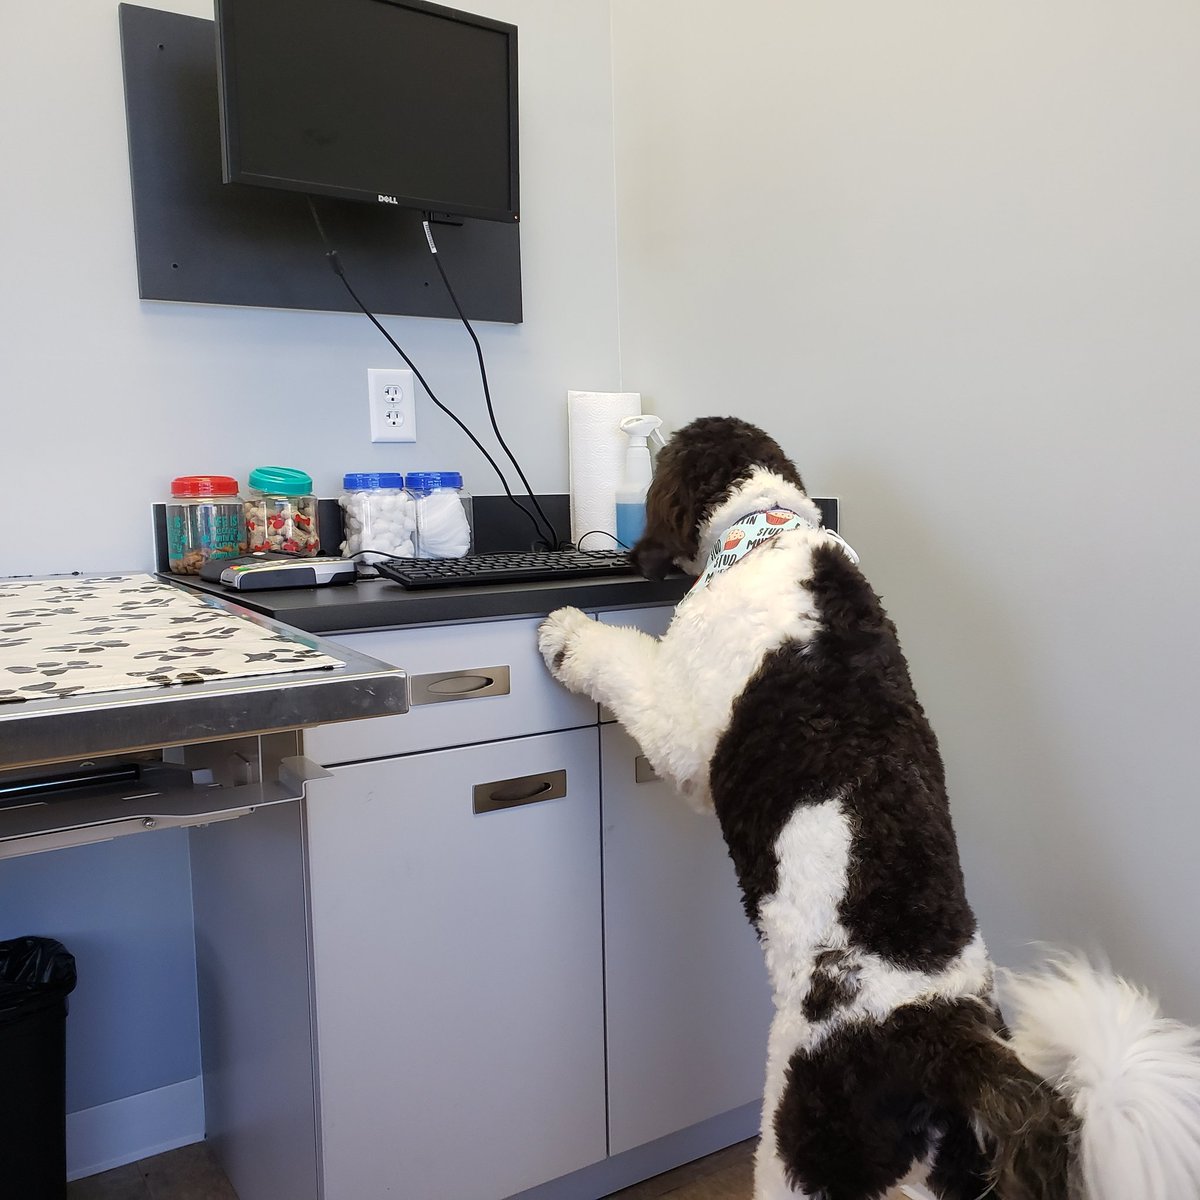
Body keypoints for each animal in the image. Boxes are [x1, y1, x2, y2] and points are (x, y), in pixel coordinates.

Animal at [539, 416, 1200, 1200]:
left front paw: (565, 631)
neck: (766, 529)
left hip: (804, 1138)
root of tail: (950, 1036)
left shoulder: (679, 725)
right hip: (948, 1171)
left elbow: (621, 661)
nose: (633, 559)